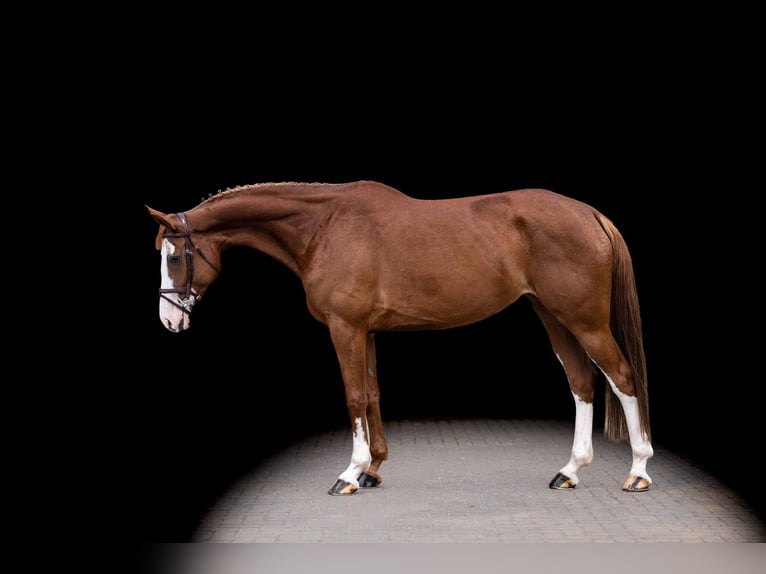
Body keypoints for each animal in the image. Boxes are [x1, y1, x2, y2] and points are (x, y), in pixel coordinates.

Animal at [146, 180, 653, 496]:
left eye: (175, 257)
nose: (169, 321)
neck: (324, 227)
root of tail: (589, 213)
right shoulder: (365, 330)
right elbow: (371, 394)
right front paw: (373, 469)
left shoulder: (345, 327)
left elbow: (353, 396)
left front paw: (350, 474)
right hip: (553, 315)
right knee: (582, 382)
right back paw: (569, 471)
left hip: (584, 319)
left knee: (622, 377)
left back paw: (638, 472)